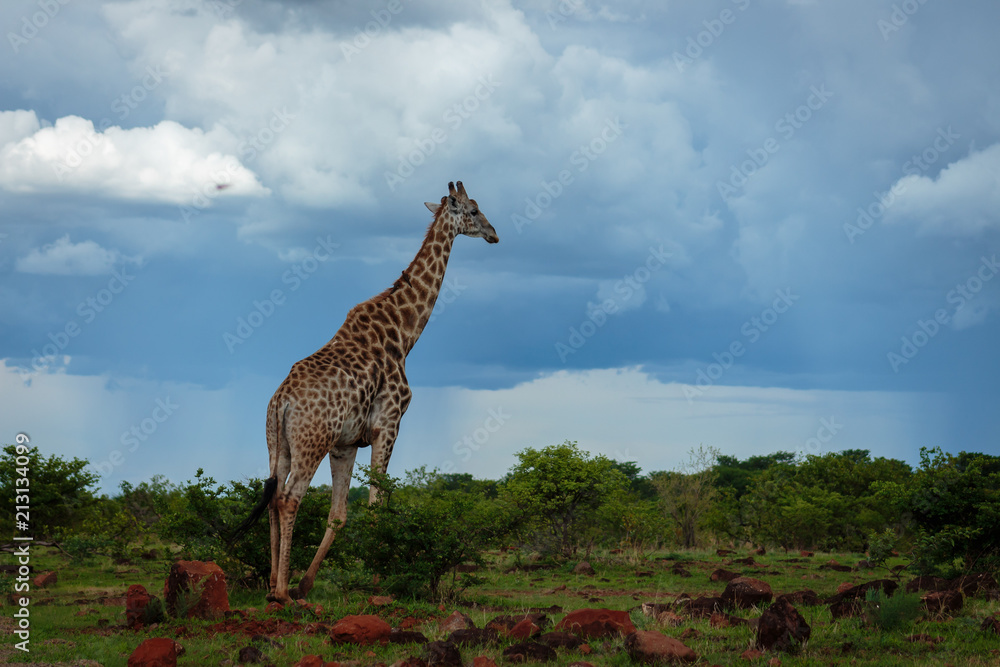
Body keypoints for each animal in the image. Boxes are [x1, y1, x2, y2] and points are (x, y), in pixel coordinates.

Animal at [231, 181, 498, 605]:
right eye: (473, 210)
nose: (494, 234)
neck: (404, 333)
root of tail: (281, 402)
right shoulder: (388, 424)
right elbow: (376, 506)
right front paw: (377, 583)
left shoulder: (346, 443)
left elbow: (339, 514)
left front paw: (308, 583)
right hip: (312, 442)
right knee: (290, 498)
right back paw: (283, 593)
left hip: (278, 445)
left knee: (272, 497)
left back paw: (275, 586)